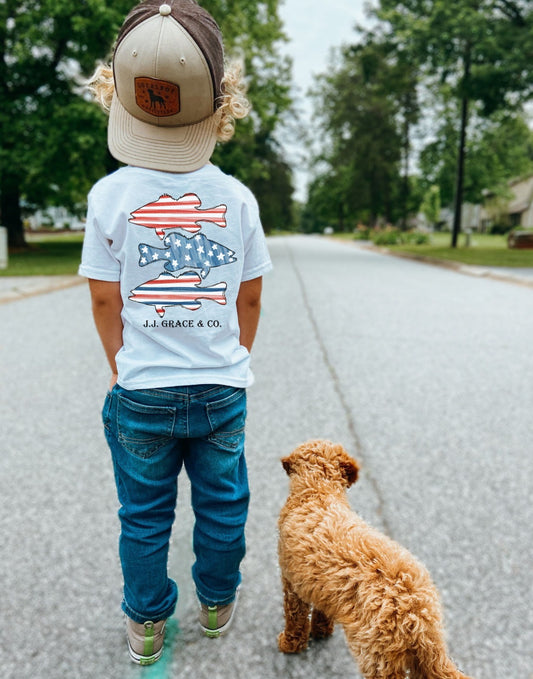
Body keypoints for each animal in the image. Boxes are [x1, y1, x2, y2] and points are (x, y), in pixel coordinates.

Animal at [276, 440, 472, 679]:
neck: (318, 491)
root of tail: (415, 612)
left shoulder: (291, 583)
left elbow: (295, 619)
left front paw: (290, 644)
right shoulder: (318, 585)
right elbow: (322, 613)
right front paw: (322, 631)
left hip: (378, 658)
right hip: (424, 654)